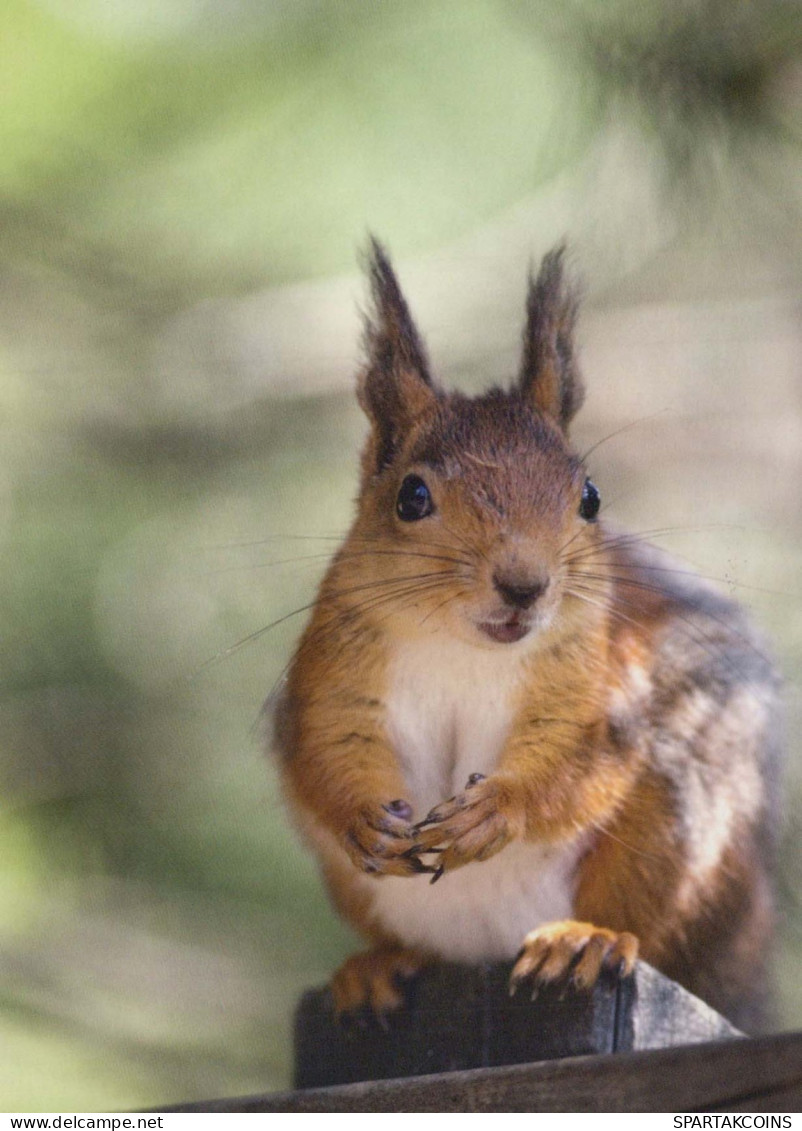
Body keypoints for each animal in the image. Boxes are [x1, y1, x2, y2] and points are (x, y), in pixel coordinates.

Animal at [270, 238, 782, 1035]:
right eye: (411, 496)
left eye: (590, 497)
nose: (524, 584)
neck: (465, 647)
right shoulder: (335, 673)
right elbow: (326, 746)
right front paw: (362, 817)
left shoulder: (598, 683)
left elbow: (572, 763)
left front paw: (495, 810)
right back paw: (375, 966)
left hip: (676, 837)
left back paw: (583, 939)